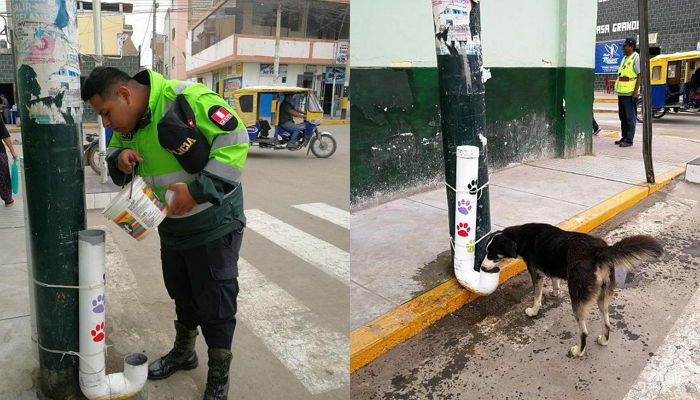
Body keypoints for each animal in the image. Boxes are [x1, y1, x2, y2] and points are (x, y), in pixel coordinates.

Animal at [478, 223, 664, 358]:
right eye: (486, 252)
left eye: (492, 254)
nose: (482, 267)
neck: (522, 237)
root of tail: (598, 251)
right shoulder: (549, 267)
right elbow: (554, 279)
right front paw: (555, 291)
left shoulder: (536, 273)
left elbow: (536, 296)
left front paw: (534, 310)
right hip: (603, 296)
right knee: (607, 322)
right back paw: (603, 340)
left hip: (577, 297)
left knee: (584, 331)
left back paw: (579, 351)